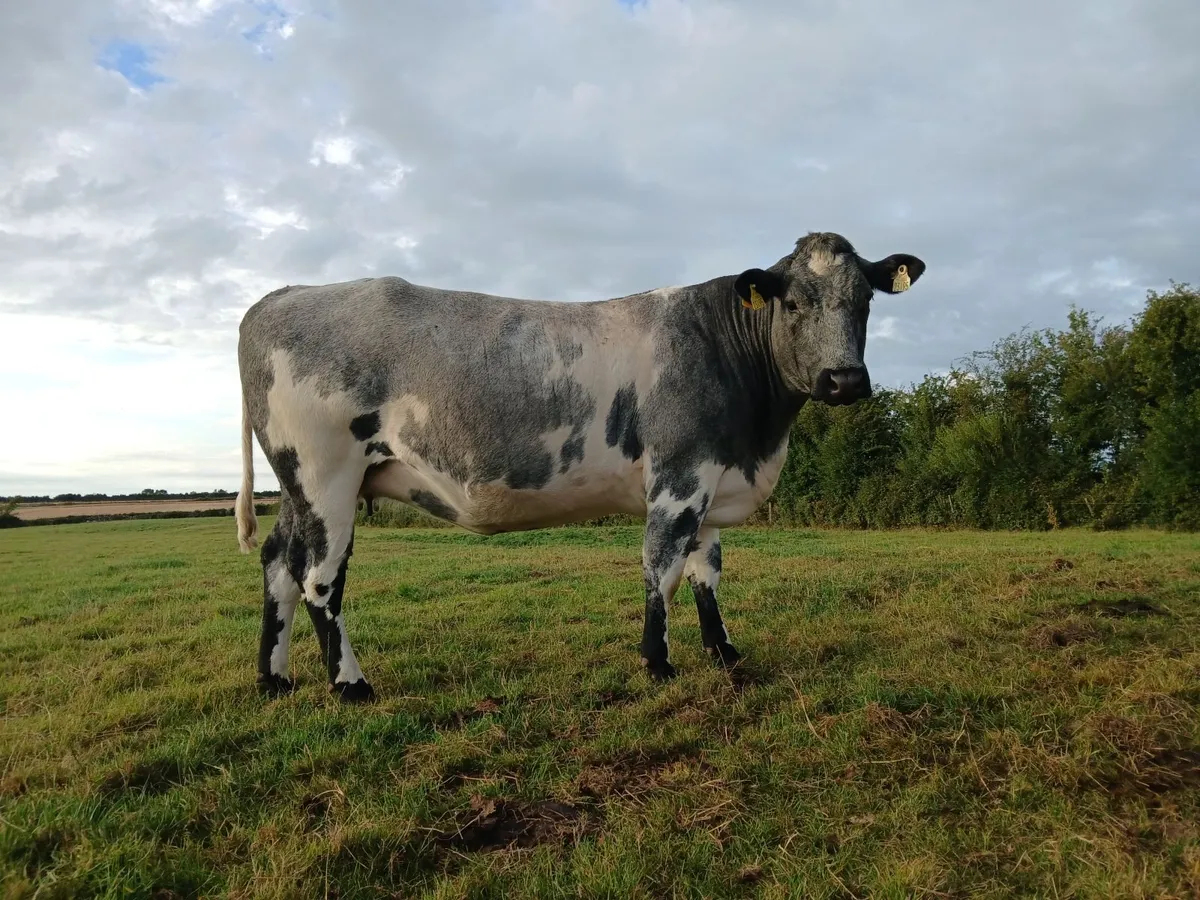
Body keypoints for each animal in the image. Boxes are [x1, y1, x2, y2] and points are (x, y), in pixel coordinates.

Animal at [234, 231, 925, 702]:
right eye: (795, 303)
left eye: (864, 300)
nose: (843, 380)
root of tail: (280, 296)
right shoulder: (678, 478)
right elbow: (662, 569)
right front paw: (658, 663)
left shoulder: (712, 478)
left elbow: (707, 570)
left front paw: (724, 652)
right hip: (326, 474)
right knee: (320, 577)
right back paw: (351, 684)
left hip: (297, 486)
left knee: (277, 562)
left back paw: (274, 678)